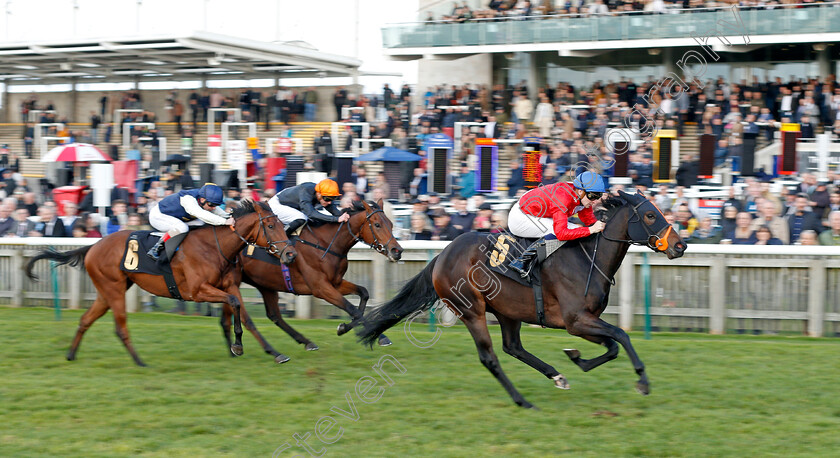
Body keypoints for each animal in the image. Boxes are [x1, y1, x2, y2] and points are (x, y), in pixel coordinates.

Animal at [25, 199, 296, 364]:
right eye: (270, 225)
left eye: (282, 223)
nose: (290, 254)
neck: (215, 247)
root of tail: (93, 246)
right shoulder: (197, 291)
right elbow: (233, 304)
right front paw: (238, 346)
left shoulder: (227, 286)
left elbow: (245, 315)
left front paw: (272, 352)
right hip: (113, 289)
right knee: (120, 327)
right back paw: (139, 361)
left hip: (106, 291)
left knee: (85, 320)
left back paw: (71, 354)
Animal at [358, 190, 684, 408]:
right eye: (651, 215)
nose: (680, 245)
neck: (588, 259)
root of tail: (442, 255)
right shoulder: (576, 320)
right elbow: (621, 336)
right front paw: (642, 381)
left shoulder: (585, 321)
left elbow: (613, 346)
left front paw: (576, 358)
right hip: (471, 310)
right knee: (490, 357)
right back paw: (522, 400)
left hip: (507, 310)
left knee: (513, 347)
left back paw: (556, 376)